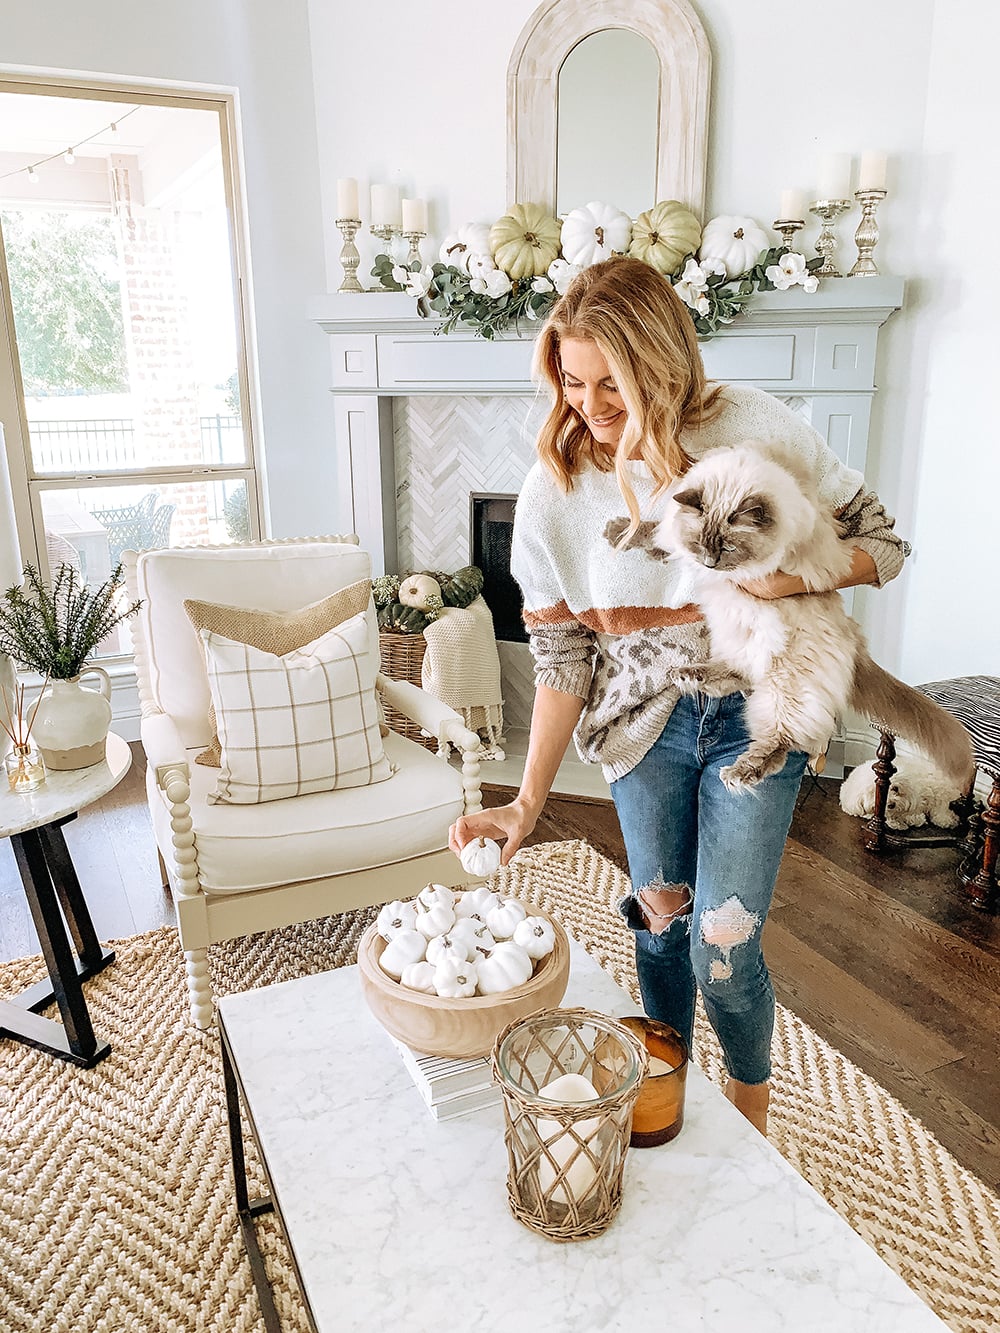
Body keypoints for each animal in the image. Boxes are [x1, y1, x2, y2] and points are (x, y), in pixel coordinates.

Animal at [658, 439, 981, 789]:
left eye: (728, 548)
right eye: (700, 543)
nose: (710, 564)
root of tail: (856, 644)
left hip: (785, 685)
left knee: (779, 739)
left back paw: (739, 773)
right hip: (739, 643)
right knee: (738, 673)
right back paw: (689, 674)